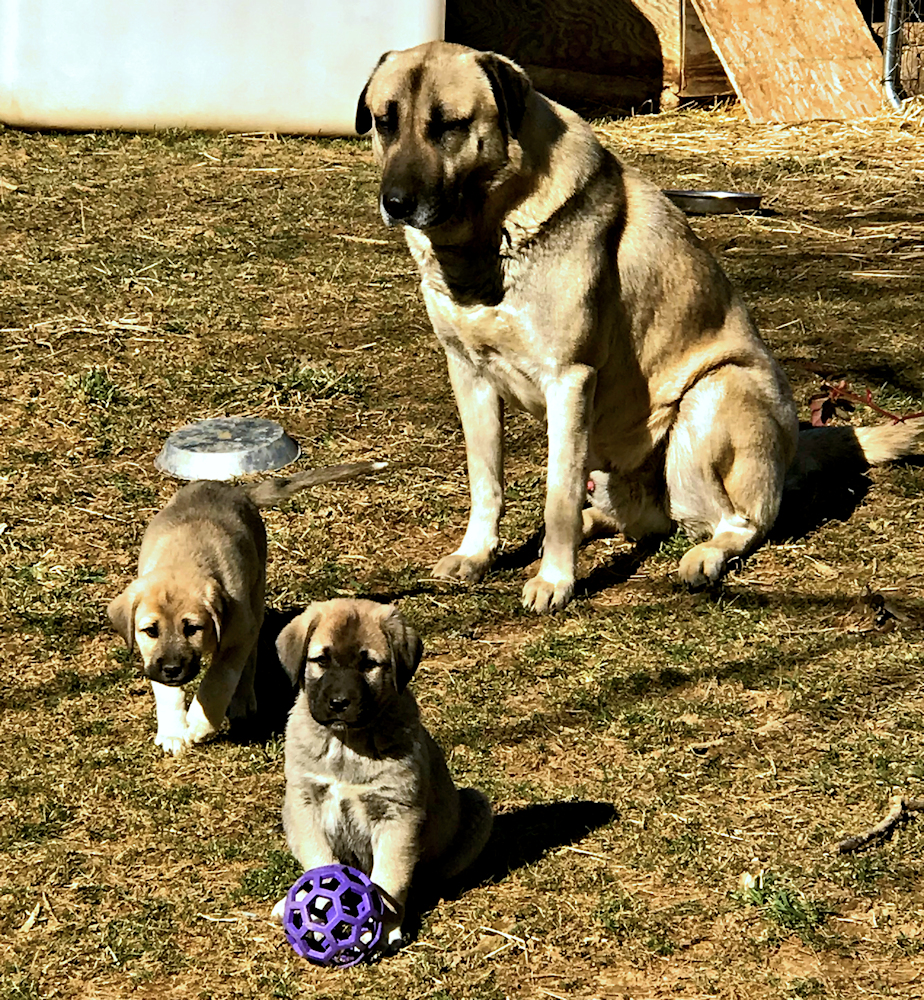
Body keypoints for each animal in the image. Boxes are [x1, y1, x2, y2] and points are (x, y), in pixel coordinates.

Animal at [108, 458, 382, 752]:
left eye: (192, 628)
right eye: (150, 630)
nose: (172, 670)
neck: (185, 559)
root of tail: (235, 490)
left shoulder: (238, 634)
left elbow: (219, 679)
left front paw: (200, 723)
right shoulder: (155, 656)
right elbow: (167, 690)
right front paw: (173, 732)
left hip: (256, 598)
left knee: (248, 659)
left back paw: (242, 702)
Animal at [272, 596, 490, 948]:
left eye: (369, 665)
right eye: (321, 660)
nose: (338, 703)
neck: (346, 744)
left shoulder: (398, 815)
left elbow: (391, 877)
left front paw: (386, 926)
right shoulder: (305, 804)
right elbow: (321, 863)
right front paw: (318, 911)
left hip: (477, 806)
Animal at [356, 43, 924, 612]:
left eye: (449, 125)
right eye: (385, 122)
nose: (395, 203)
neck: (487, 239)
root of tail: (791, 449)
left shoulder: (569, 379)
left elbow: (557, 496)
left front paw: (555, 579)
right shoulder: (469, 375)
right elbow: (486, 480)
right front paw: (477, 554)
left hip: (711, 399)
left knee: (737, 523)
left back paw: (701, 558)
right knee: (635, 522)